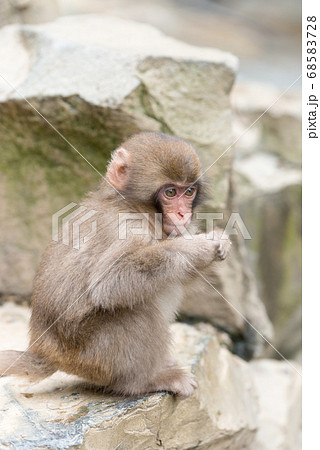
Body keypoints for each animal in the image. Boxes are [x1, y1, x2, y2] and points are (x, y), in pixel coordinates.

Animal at [0, 131, 230, 398]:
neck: (135, 207)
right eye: (171, 192)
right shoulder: (126, 228)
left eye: (189, 191)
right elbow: (110, 283)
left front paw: (220, 240)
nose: (183, 214)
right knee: (139, 313)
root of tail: (44, 353)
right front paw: (202, 245)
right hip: (93, 355)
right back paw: (146, 380)